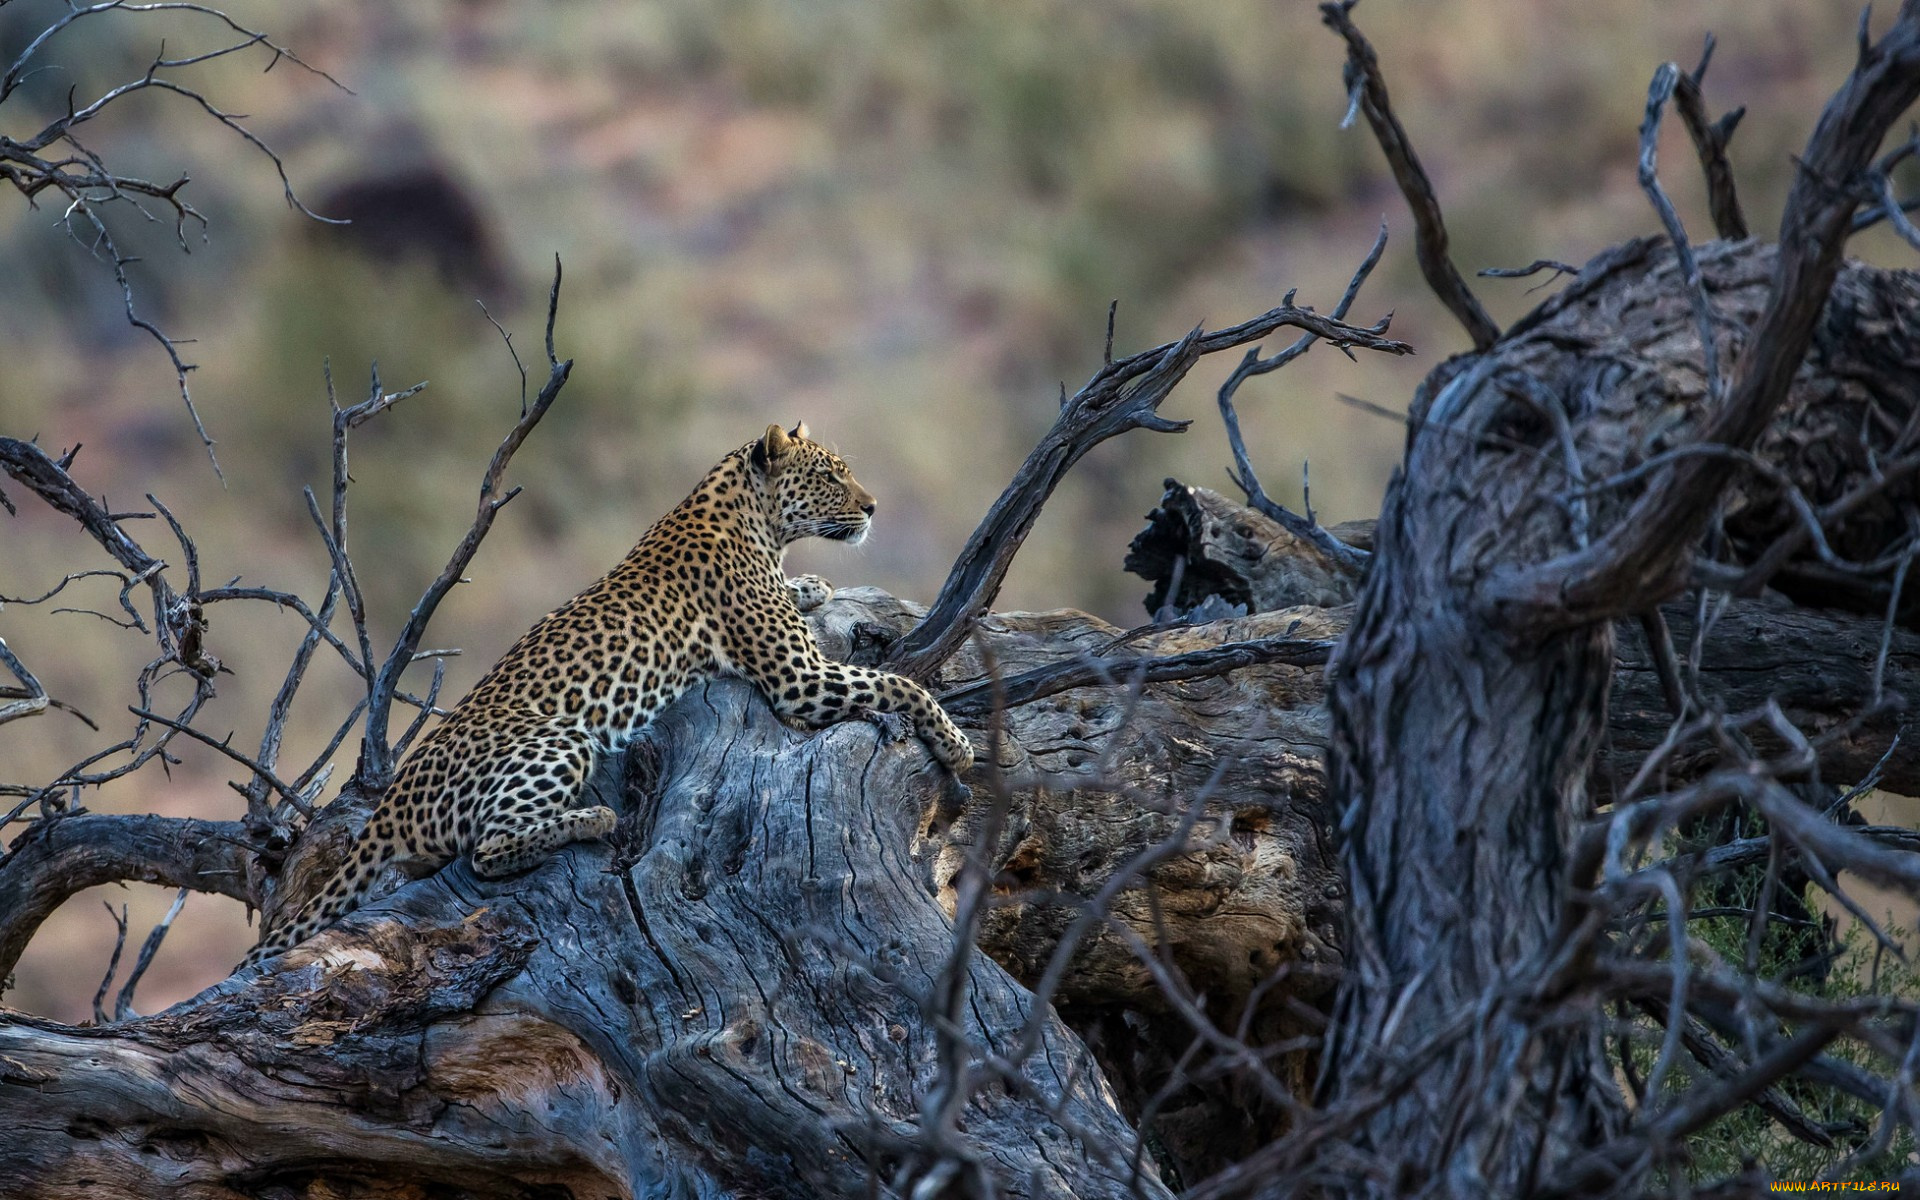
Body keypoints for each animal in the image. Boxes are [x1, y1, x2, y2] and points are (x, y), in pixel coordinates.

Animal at [251, 424, 975, 963]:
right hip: (556, 739)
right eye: (830, 475)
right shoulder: (800, 679)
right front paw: (957, 743)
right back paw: (593, 819)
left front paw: (812, 587)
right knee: (486, 850)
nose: (872, 507)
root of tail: (389, 808)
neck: (755, 521)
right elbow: (899, 682)